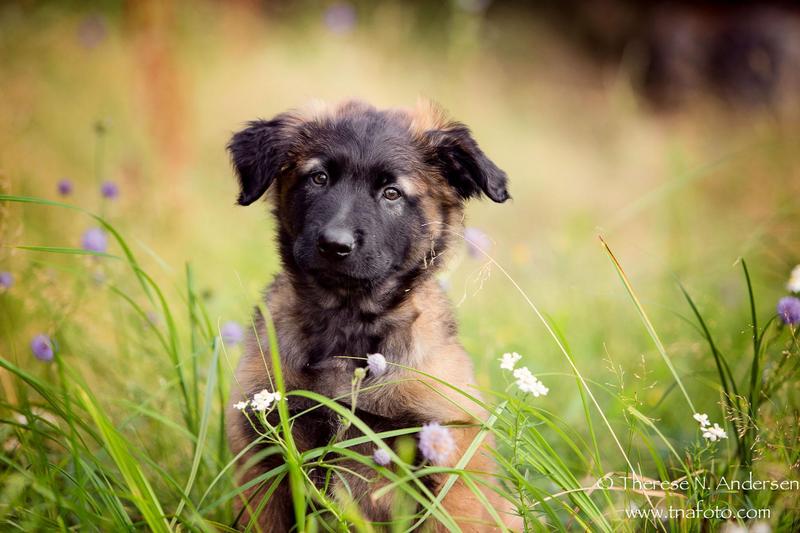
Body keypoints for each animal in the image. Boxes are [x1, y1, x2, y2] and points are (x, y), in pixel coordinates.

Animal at [225, 101, 512, 532]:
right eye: (319, 177)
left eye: (391, 193)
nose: (335, 245)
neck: (348, 325)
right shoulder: (262, 454)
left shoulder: (450, 460)